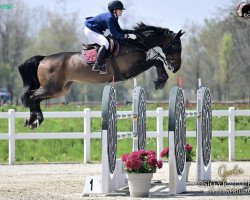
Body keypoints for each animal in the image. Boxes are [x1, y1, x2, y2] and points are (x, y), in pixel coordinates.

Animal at [18, 22, 185, 129]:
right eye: (176, 45)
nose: (176, 67)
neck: (137, 44)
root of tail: (43, 59)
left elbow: (156, 61)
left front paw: (161, 79)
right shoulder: (133, 69)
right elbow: (157, 61)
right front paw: (161, 81)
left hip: (60, 90)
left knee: (35, 98)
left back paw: (34, 120)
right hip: (52, 88)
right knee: (31, 96)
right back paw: (34, 120)